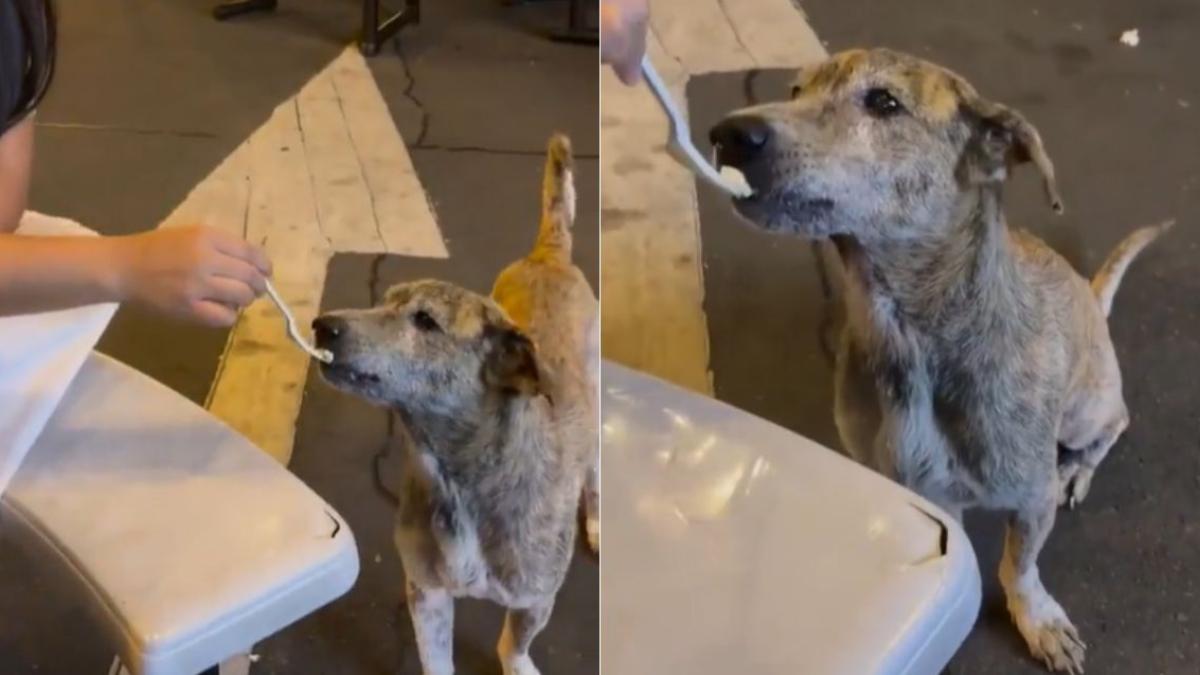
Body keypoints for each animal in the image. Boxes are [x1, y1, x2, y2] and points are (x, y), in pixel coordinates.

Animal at [312, 132, 597, 672]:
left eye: (426, 321)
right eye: (384, 300)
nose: (322, 325)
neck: (460, 479)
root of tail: (548, 254)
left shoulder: (534, 600)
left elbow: (514, 644)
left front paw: (518, 663)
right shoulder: (427, 594)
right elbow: (437, 659)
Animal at [710, 48, 1171, 672]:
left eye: (884, 101)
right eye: (796, 89)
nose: (729, 134)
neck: (909, 339)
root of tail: (1091, 296)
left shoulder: (1031, 498)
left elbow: (1019, 566)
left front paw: (1038, 620)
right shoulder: (915, 487)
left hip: (1087, 409)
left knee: (1115, 422)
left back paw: (1077, 469)